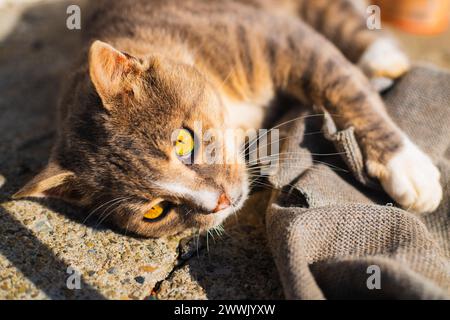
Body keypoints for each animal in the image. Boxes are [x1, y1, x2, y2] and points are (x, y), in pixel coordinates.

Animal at [14, 0, 442, 238]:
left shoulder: (283, 36)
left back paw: (382, 58)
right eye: (155, 211)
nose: (218, 202)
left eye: (182, 141)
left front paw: (409, 169)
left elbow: (342, 85)